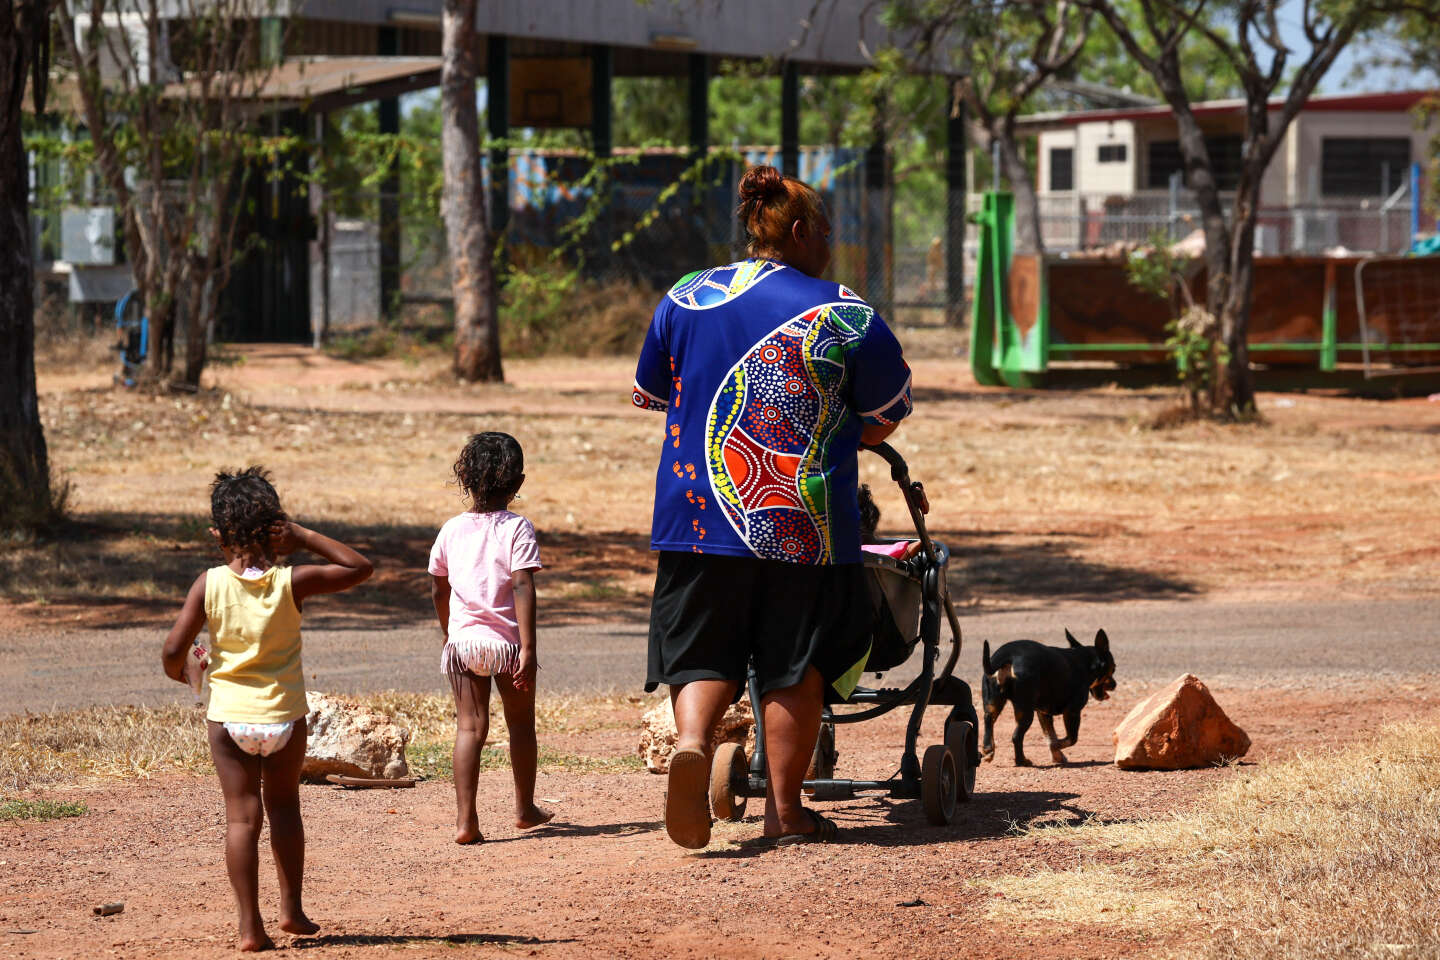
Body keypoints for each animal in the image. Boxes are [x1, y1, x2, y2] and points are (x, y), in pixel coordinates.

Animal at [979, 630, 1111, 765]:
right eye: (1113, 667)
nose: (1114, 684)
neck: (1085, 662)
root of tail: (1008, 655)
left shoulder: (1043, 713)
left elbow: (1050, 735)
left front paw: (1057, 756)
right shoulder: (1072, 711)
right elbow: (1070, 739)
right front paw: (1056, 748)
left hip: (993, 703)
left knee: (988, 720)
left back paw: (988, 750)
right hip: (1025, 712)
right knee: (1016, 737)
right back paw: (1022, 761)